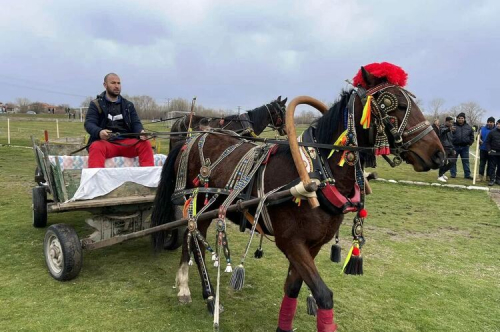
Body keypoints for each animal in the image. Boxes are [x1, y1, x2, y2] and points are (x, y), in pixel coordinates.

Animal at [150, 63, 444, 330]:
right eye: (395, 105)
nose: (439, 154)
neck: (317, 171)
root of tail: (192, 138)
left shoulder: (313, 245)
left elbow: (292, 287)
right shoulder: (291, 242)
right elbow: (324, 295)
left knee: (190, 239)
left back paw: (187, 286)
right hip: (199, 203)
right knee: (194, 240)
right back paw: (206, 296)